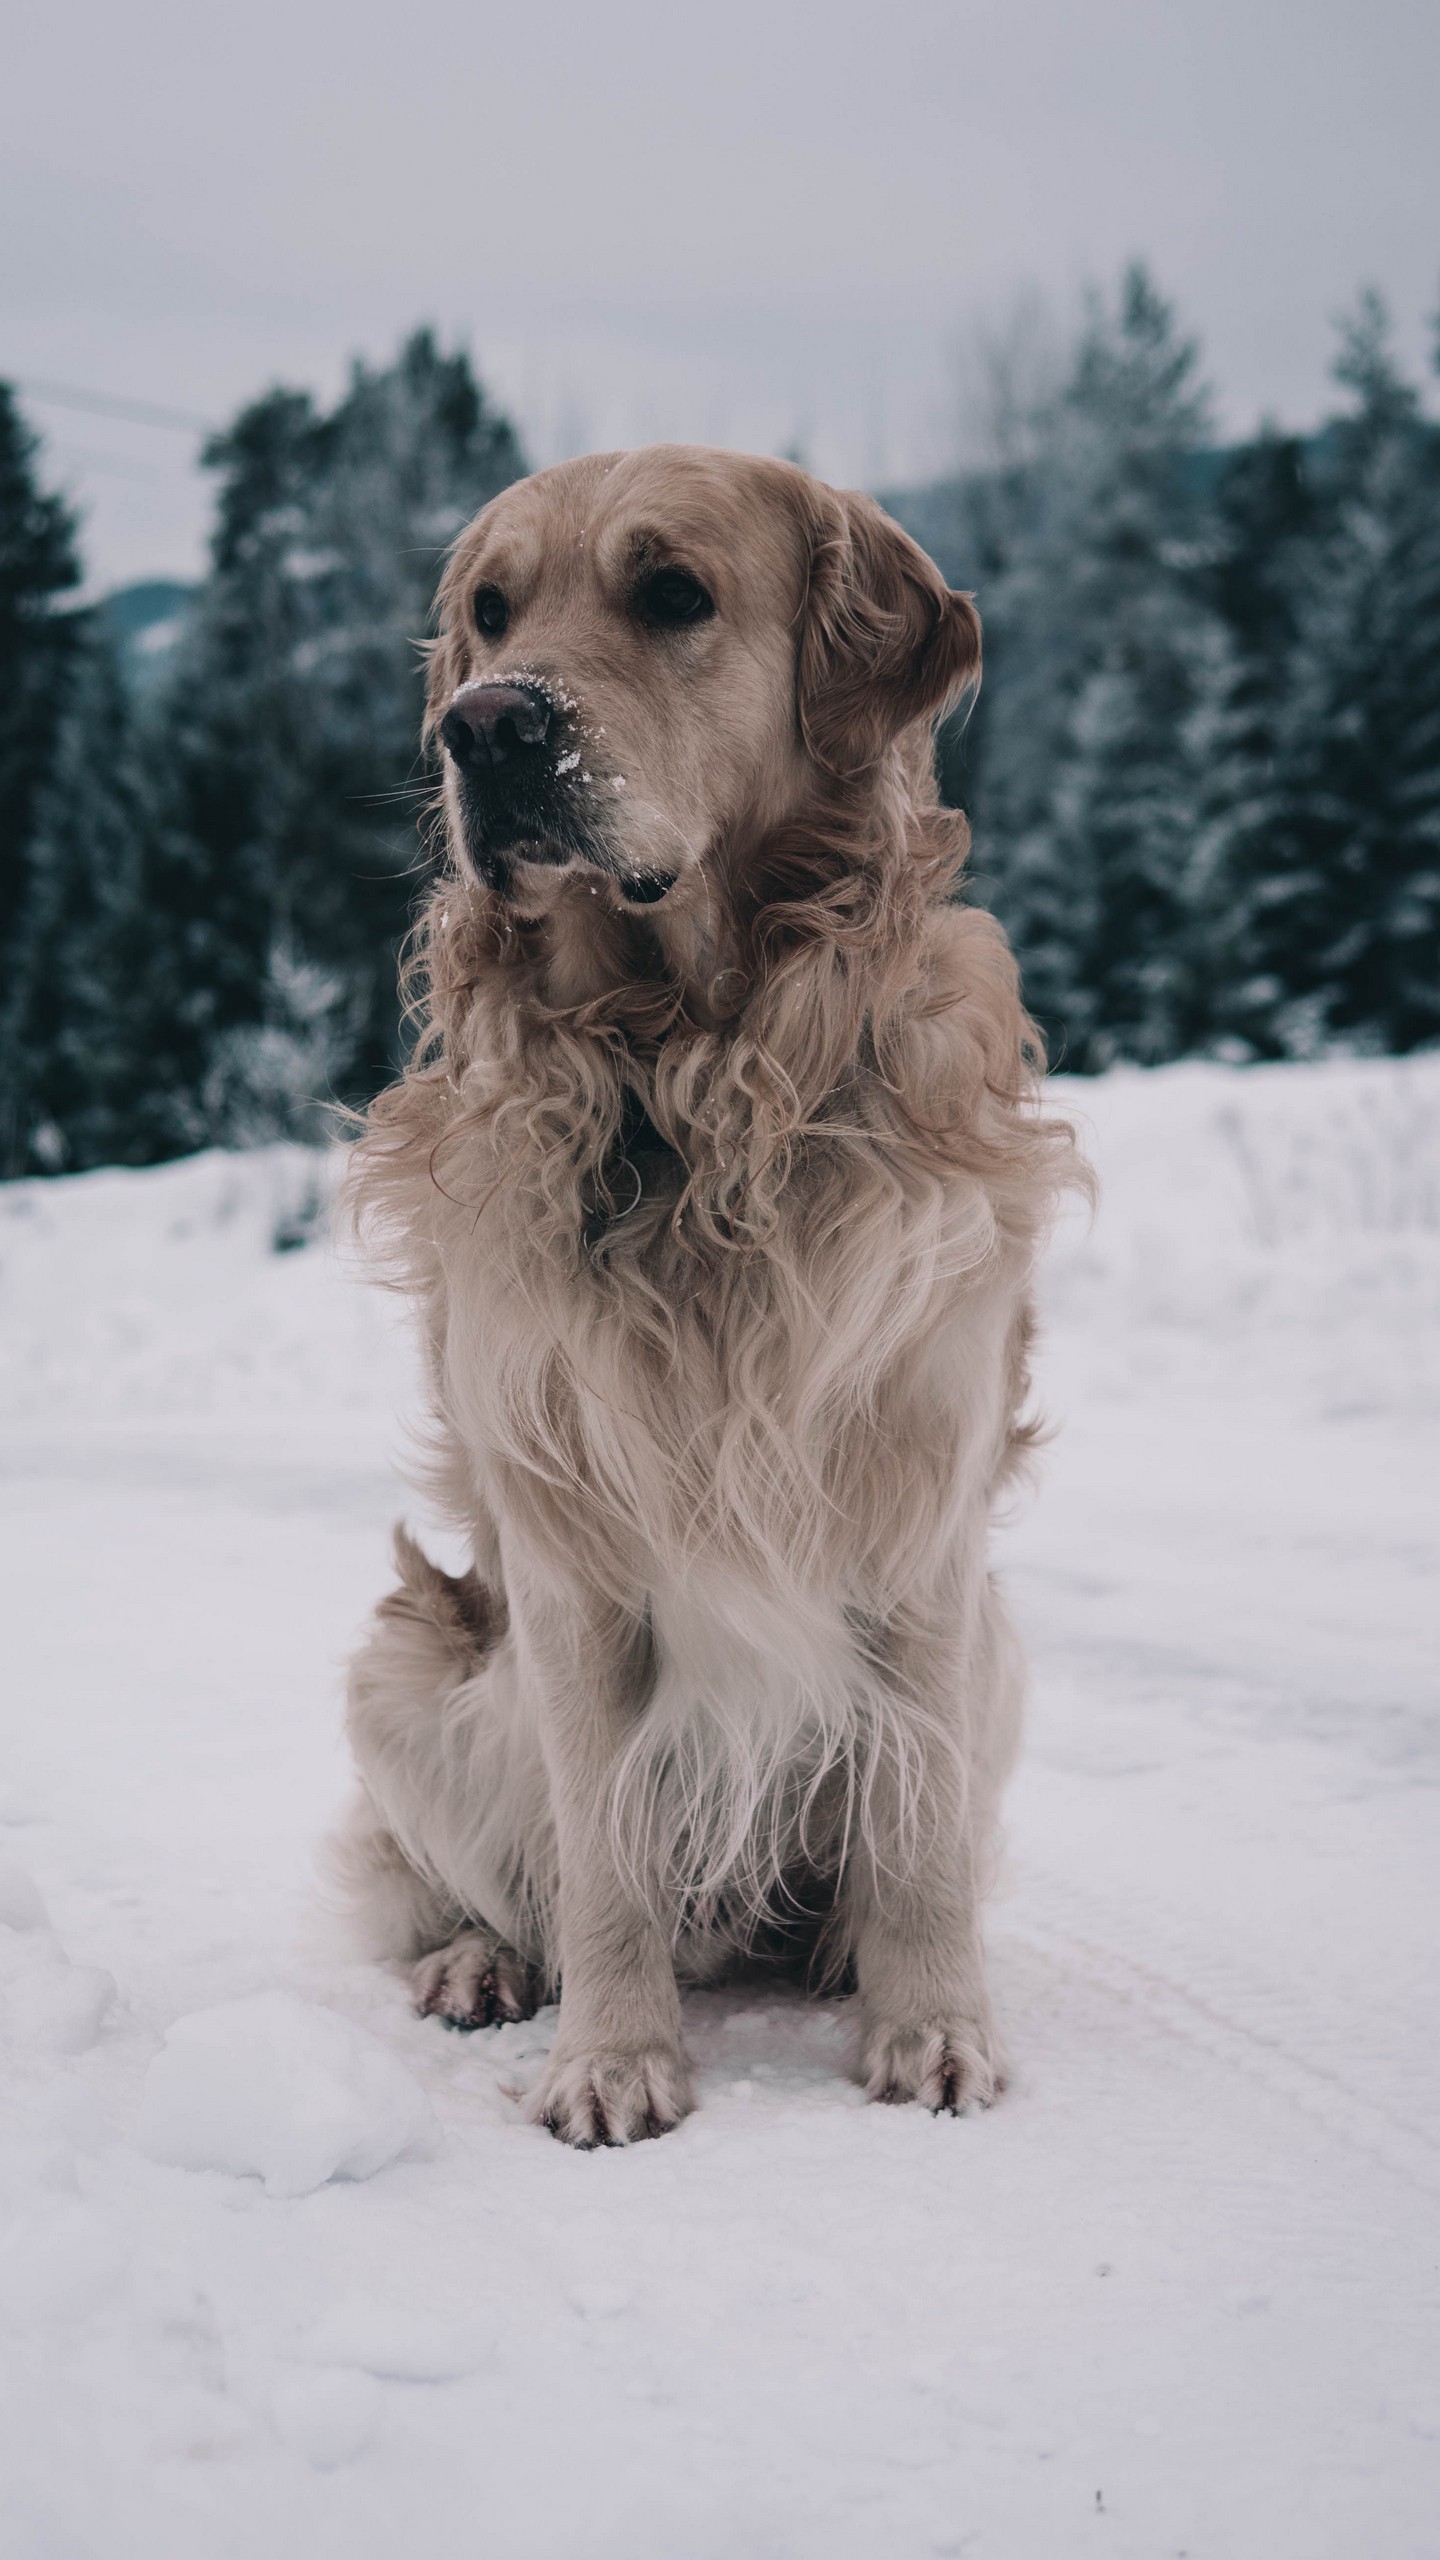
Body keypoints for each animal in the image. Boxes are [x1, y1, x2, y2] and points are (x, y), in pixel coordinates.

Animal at [330, 440, 1076, 2140]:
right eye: (489, 612)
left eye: (673, 594)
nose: (487, 727)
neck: (691, 1076)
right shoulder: (570, 1556)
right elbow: (599, 1852)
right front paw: (613, 2059)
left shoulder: (921, 1522)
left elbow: (920, 1828)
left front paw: (932, 2027)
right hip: (405, 1663)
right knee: (476, 1880)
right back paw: (483, 1965)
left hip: (998, 1646)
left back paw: (842, 1952)